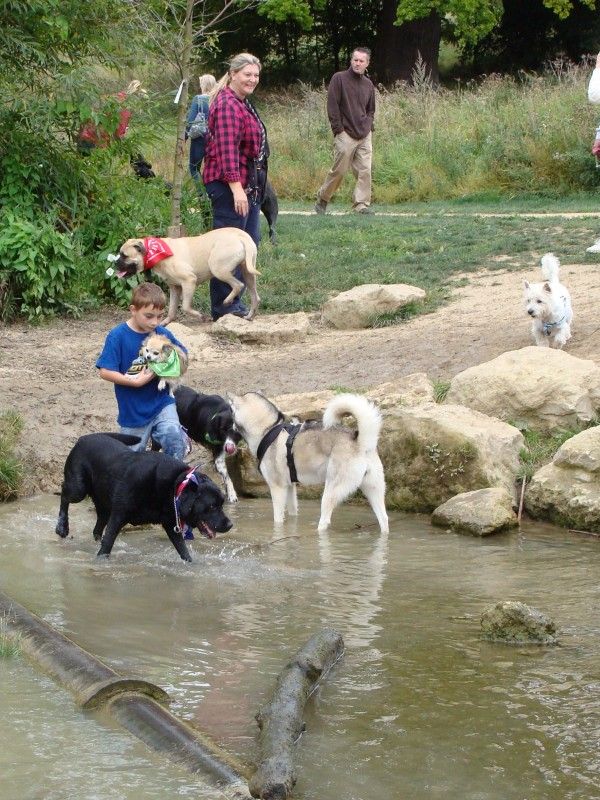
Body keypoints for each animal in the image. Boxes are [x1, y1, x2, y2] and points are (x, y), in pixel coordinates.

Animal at [55, 432, 232, 564]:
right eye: (212, 506)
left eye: (222, 504)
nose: (230, 525)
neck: (174, 486)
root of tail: (83, 437)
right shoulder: (119, 515)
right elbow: (108, 542)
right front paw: (101, 561)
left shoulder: (171, 524)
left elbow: (183, 550)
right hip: (79, 489)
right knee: (64, 495)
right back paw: (62, 527)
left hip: (103, 503)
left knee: (98, 527)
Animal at [115, 228, 260, 324]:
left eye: (124, 255)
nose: (115, 263)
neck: (154, 253)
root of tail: (241, 236)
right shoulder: (175, 288)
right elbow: (171, 310)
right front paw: (165, 322)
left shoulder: (189, 281)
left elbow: (185, 306)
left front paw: (200, 316)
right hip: (248, 274)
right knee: (255, 297)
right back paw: (249, 316)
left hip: (218, 269)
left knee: (238, 285)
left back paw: (227, 301)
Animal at [226, 390, 390, 532]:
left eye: (231, 411)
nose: (228, 427)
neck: (268, 429)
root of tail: (360, 441)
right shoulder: (290, 487)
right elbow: (293, 513)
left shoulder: (277, 488)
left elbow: (278, 519)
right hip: (374, 490)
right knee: (384, 518)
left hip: (330, 492)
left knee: (325, 521)